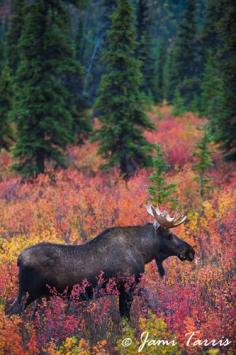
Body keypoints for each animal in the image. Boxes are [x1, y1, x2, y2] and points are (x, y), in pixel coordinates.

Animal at [8, 206, 195, 320]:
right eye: (169, 235)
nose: (190, 251)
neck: (143, 252)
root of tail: (19, 258)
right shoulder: (127, 287)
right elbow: (125, 316)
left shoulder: (130, 287)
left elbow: (146, 298)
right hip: (28, 292)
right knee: (12, 312)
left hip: (42, 296)